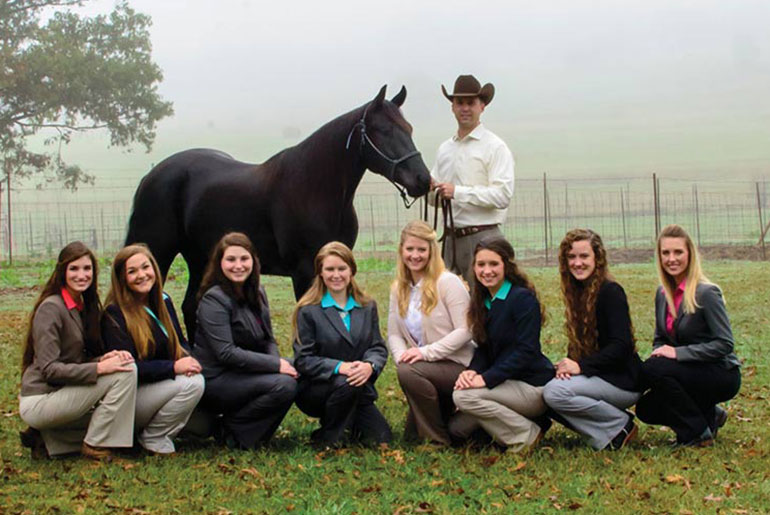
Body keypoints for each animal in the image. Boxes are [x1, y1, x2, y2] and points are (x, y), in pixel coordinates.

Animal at [123, 85, 428, 338]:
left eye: (409, 128)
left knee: (191, 306)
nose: (423, 180)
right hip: (157, 252)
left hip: (200, 258)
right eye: (383, 130)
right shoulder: (303, 271)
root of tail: (151, 176)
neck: (316, 188)